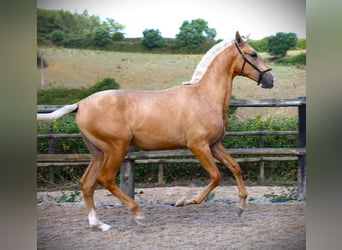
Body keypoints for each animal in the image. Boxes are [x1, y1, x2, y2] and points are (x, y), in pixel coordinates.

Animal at [37, 31, 274, 232]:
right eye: (253, 54)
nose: (270, 80)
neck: (204, 97)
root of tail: (80, 104)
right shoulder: (198, 146)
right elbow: (216, 176)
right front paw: (184, 201)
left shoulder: (215, 145)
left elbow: (235, 168)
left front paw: (240, 208)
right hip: (116, 149)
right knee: (105, 179)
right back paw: (138, 214)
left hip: (98, 152)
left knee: (87, 183)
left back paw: (99, 224)